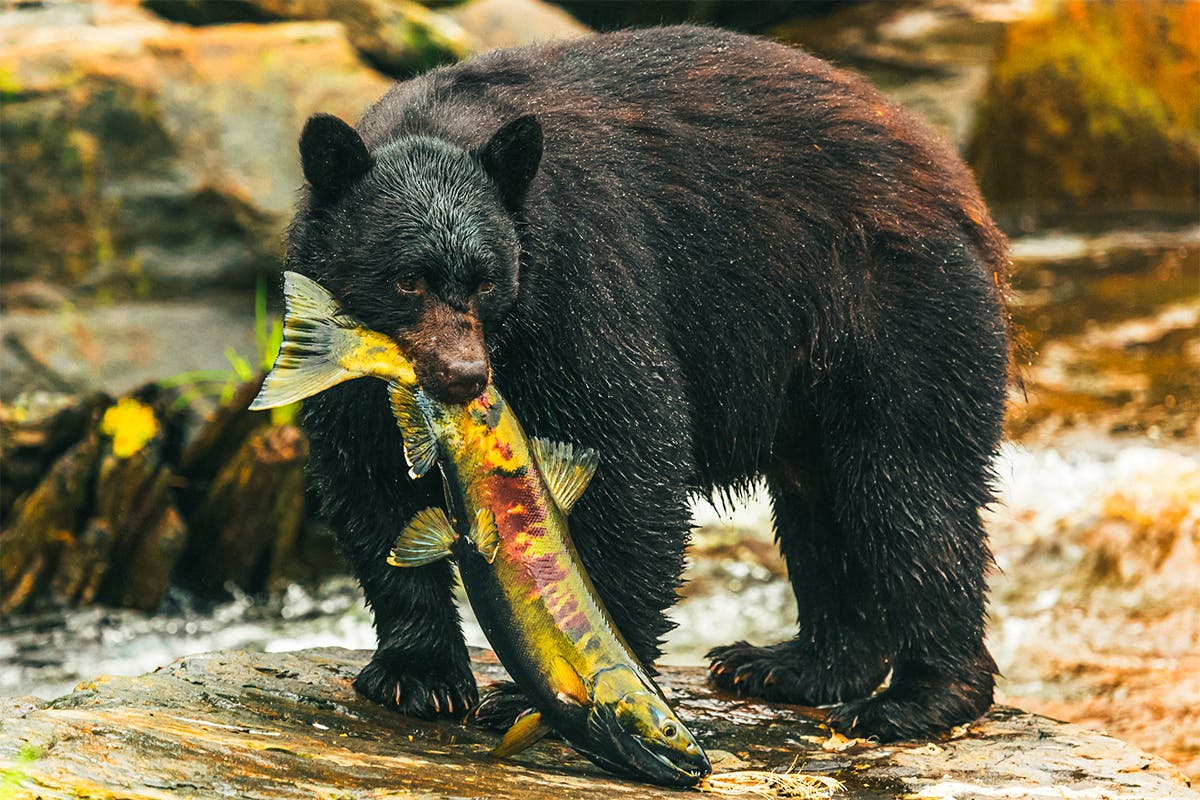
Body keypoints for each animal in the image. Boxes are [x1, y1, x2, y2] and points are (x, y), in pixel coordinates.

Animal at [287, 25, 1010, 742]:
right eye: (407, 279)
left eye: (487, 280)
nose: (464, 376)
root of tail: (955, 179)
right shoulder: (336, 337)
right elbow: (369, 476)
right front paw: (420, 676)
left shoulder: (577, 276)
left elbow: (629, 447)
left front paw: (568, 682)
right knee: (819, 500)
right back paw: (793, 665)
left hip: (892, 310)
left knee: (908, 487)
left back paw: (916, 697)